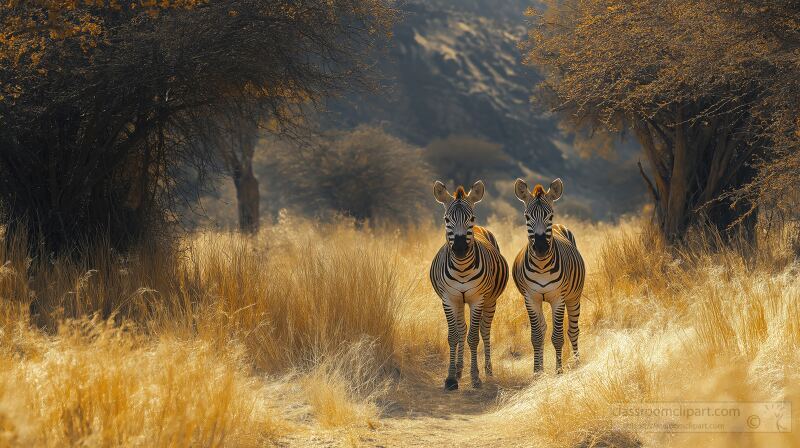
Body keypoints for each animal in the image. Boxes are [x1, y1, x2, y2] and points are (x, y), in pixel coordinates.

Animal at [428, 180, 510, 390]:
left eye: (471, 218)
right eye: (446, 219)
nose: (459, 249)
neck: (461, 268)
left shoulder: (477, 299)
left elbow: (473, 337)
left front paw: (475, 377)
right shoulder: (449, 299)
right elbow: (454, 336)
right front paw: (450, 378)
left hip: (490, 301)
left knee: (484, 331)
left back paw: (488, 371)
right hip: (459, 301)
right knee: (461, 329)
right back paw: (458, 369)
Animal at [512, 178, 588, 374]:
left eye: (550, 215)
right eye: (527, 217)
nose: (540, 248)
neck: (541, 267)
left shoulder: (558, 298)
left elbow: (558, 336)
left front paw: (559, 370)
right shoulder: (531, 298)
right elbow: (537, 336)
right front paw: (537, 371)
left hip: (574, 297)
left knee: (573, 331)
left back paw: (576, 362)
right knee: (543, 328)